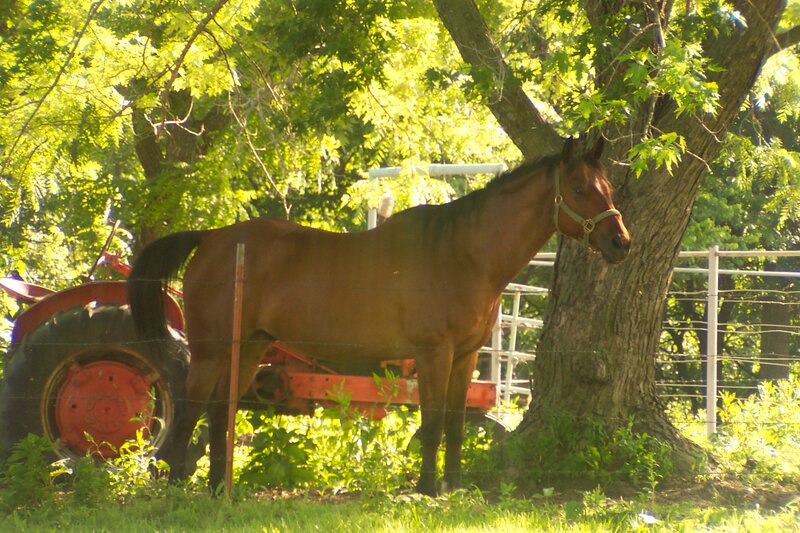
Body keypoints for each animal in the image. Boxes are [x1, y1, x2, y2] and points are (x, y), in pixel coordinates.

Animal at [127, 137, 630, 496]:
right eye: (580, 189)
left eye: (607, 188)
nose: (620, 242)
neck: (462, 253)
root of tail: (212, 237)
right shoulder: (433, 354)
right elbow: (431, 423)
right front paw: (427, 489)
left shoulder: (465, 356)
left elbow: (455, 423)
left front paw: (454, 487)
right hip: (211, 352)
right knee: (189, 409)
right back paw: (175, 485)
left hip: (248, 348)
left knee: (219, 412)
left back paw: (217, 489)